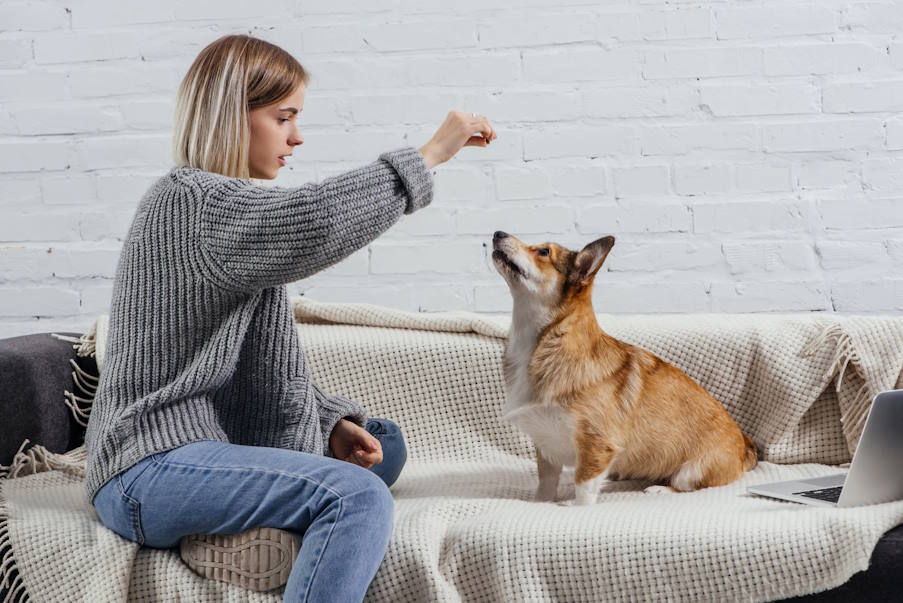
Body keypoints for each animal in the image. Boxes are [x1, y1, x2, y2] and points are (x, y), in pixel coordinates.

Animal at [490, 231, 760, 504]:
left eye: (544, 252)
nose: (498, 233)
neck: (541, 342)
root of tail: (745, 446)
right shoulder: (545, 445)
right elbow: (546, 482)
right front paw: (541, 502)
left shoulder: (596, 444)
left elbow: (583, 485)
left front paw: (575, 508)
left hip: (691, 471)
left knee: (683, 484)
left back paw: (659, 488)